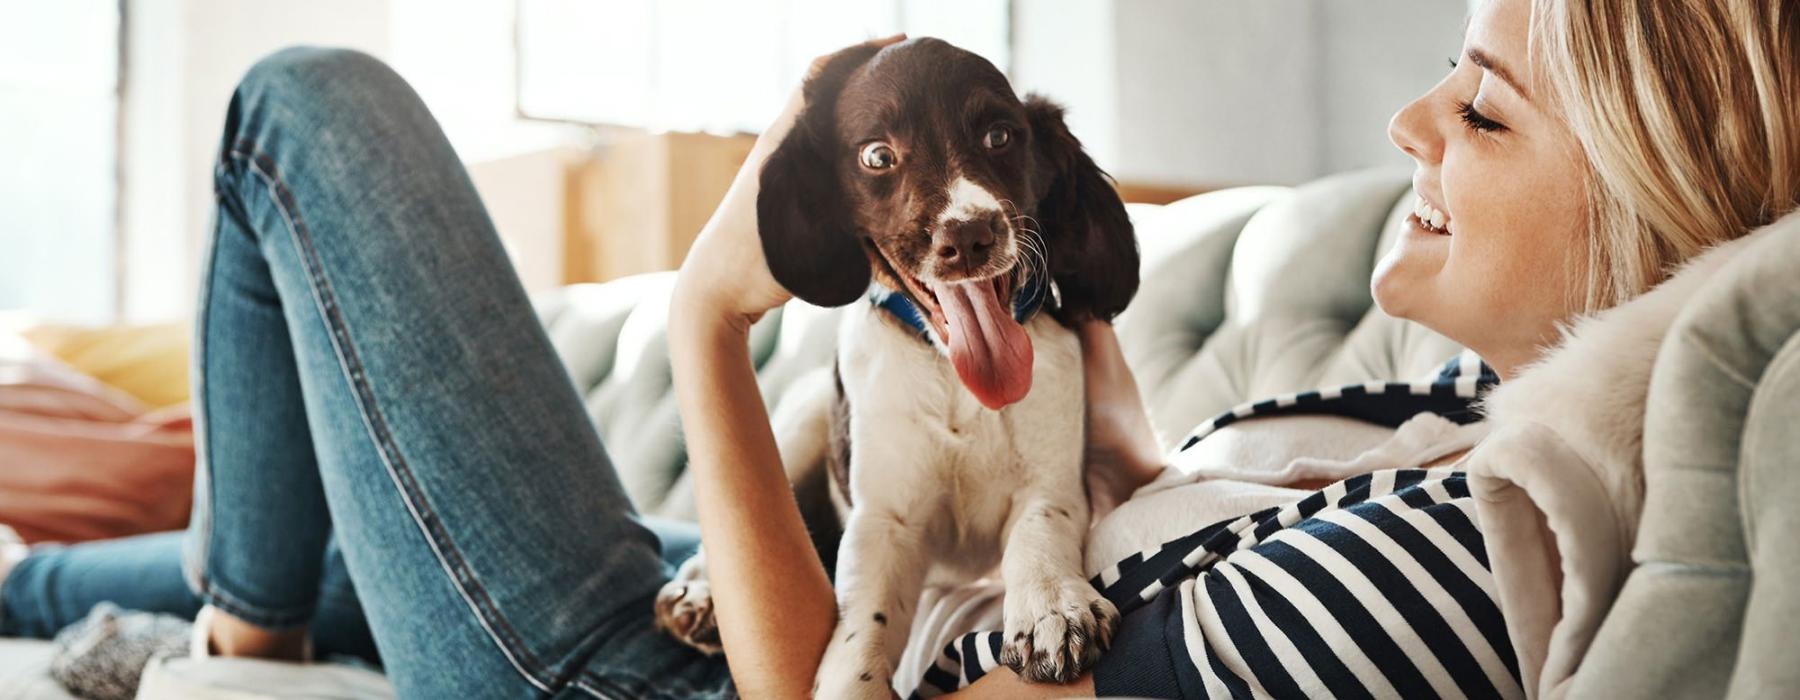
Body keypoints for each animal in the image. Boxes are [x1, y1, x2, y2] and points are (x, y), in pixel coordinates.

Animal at [658, 38, 1137, 691]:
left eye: (1000, 137)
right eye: (878, 156)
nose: (970, 235)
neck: (952, 375)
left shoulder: (1053, 481)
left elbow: (1040, 529)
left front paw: (1050, 604)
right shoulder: (884, 522)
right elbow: (862, 628)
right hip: (804, 416)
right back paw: (700, 592)